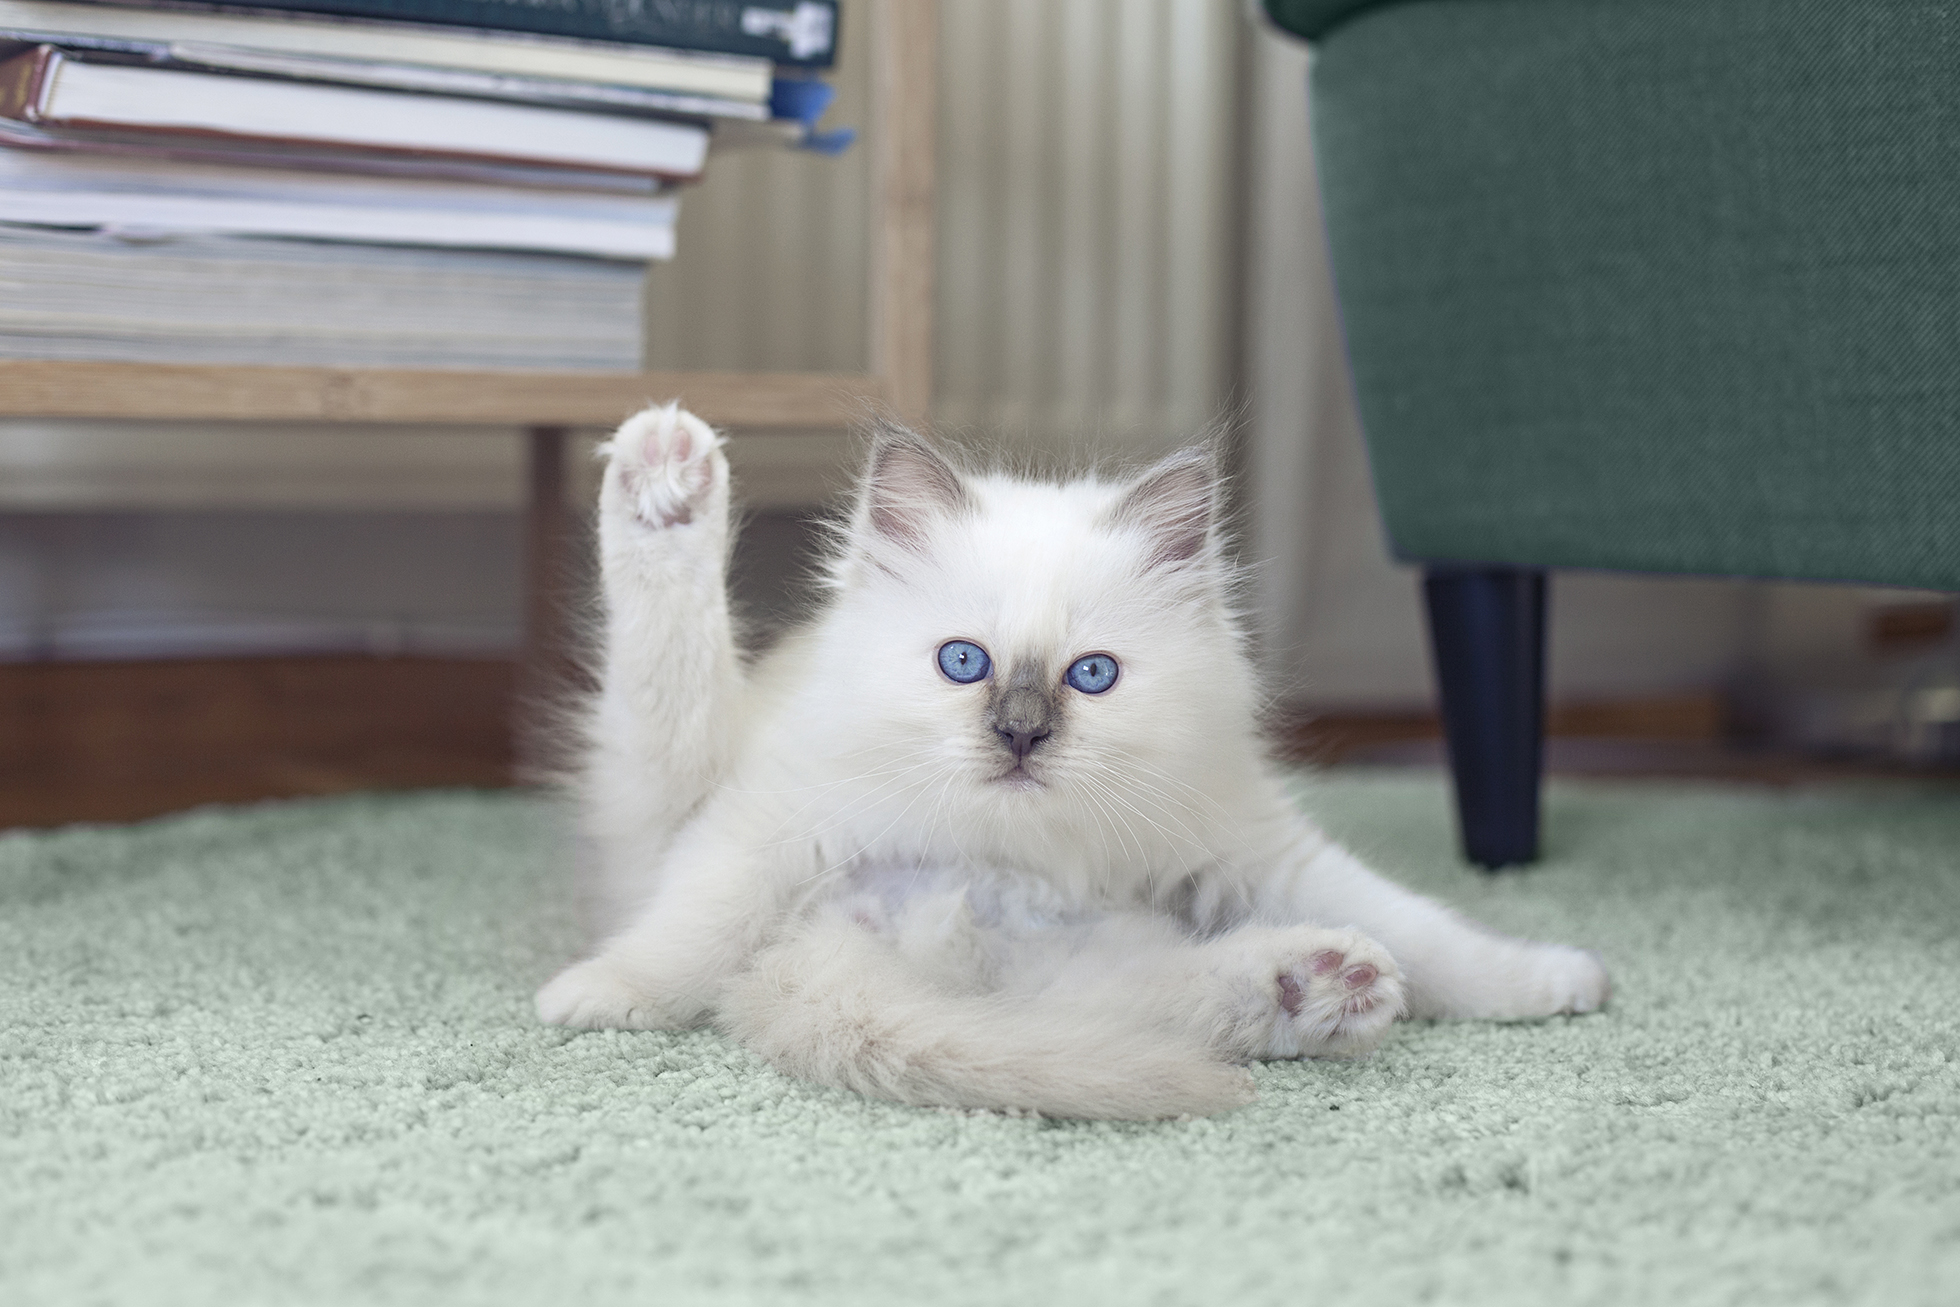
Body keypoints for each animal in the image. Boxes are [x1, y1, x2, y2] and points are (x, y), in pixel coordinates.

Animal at [537, 403, 1607, 1120]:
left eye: (1092, 676)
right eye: (962, 663)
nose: (1020, 733)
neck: (1018, 848)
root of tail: (852, 938)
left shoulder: (1252, 850)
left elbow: (1436, 937)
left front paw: (1554, 980)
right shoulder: (766, 827)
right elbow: (688, 934)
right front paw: (598, 998)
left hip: (1058, 970)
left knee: (1169, 1004)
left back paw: (1321, 984)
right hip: (677, 788)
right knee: (673, 701)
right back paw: (665, 480)